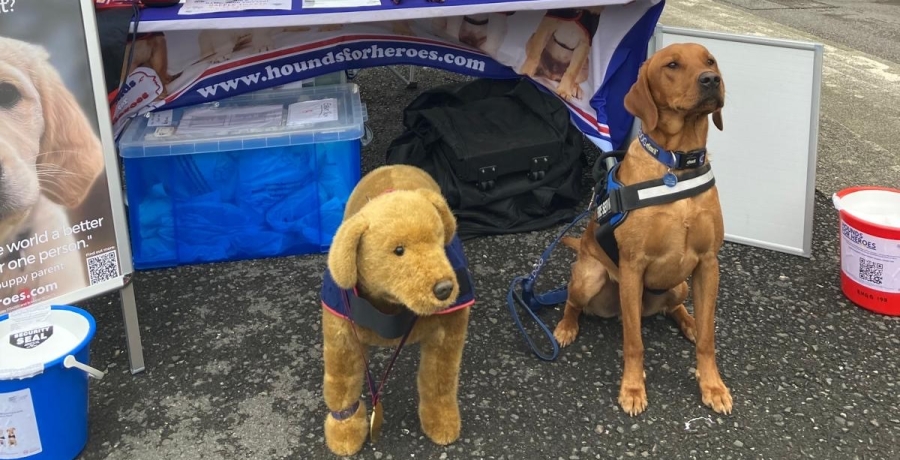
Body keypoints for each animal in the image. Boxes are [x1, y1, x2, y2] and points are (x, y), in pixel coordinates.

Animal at [552, 43, 736, 416]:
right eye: (672, 65)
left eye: (710, 61)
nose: (711, 79)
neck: (676, 165)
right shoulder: (633, 266)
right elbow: (634, 341)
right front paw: (633, 388)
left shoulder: (708, 263)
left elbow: (708, 338)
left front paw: (712, 385)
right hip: (589, 278)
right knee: (573, 302)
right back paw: (566, 327)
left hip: (680, 284)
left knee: (675, 307)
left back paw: (689, 322)